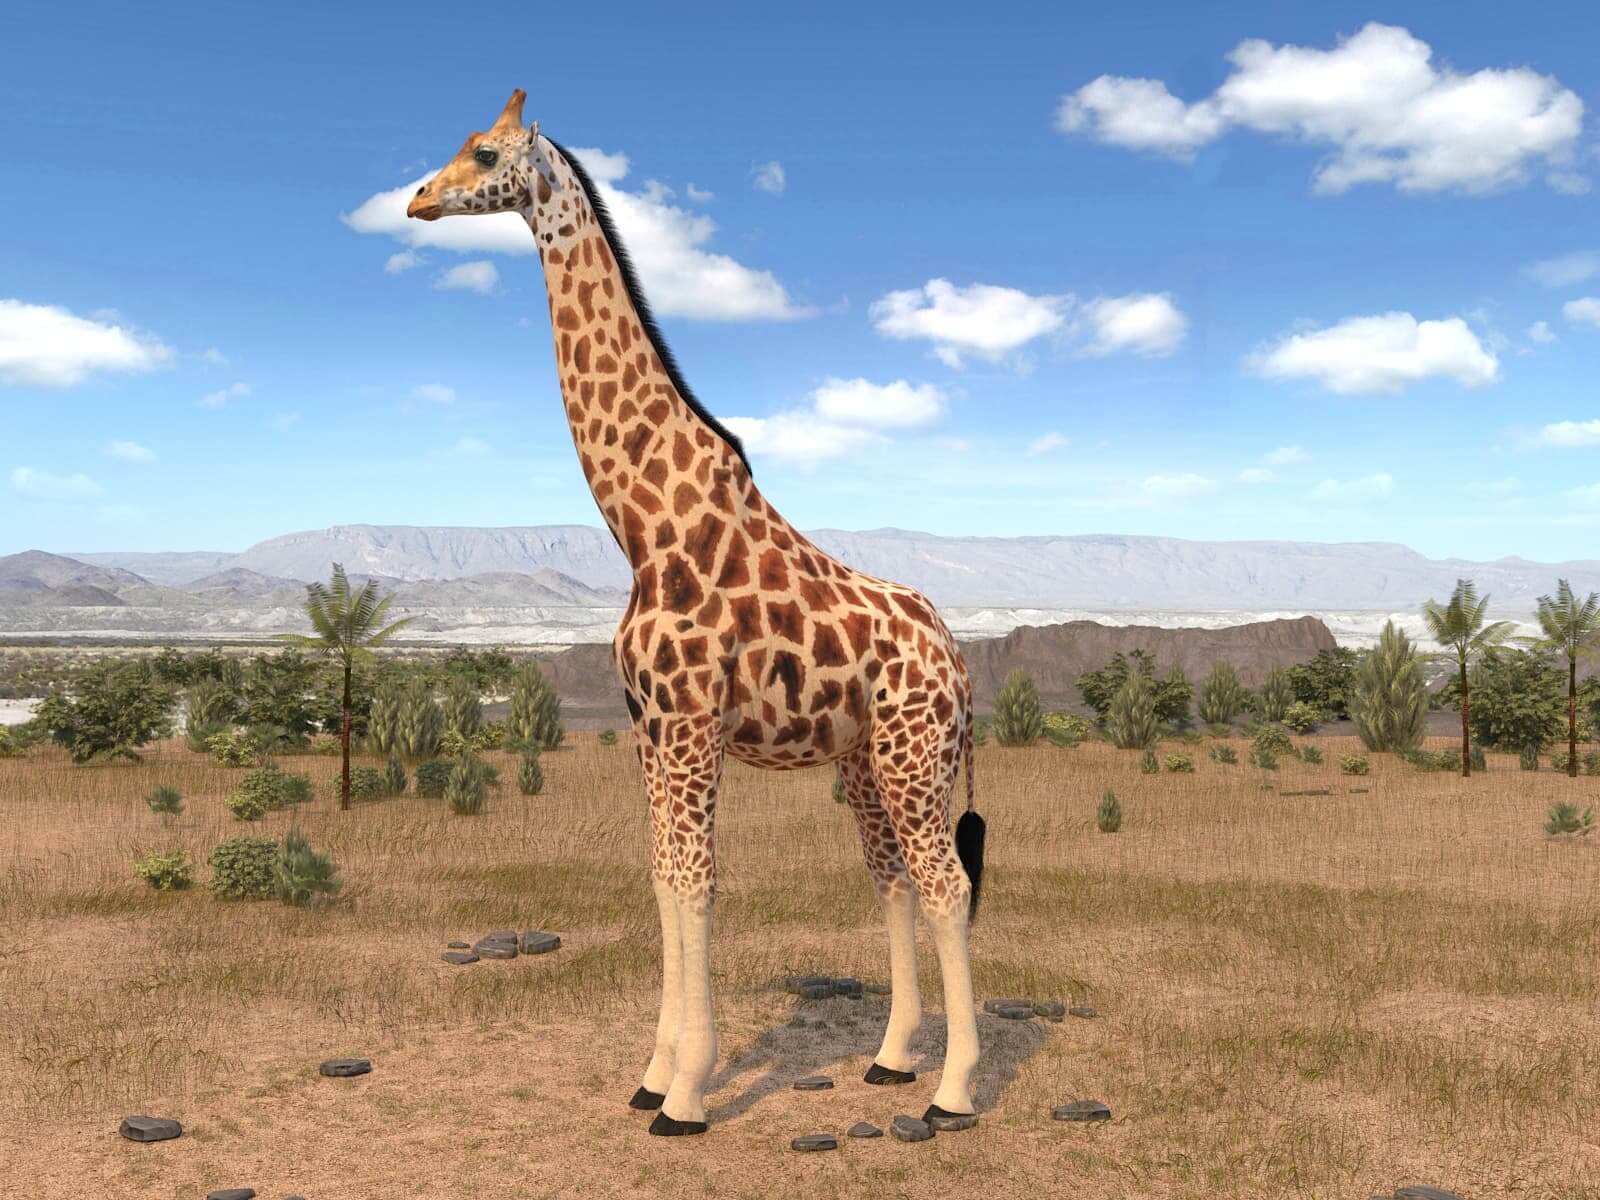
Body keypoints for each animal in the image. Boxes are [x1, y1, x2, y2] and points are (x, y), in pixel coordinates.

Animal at [407, 90, 988, 1136]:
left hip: (915, 753)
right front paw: (652, 1075)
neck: (644, 528)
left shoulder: (687, 723)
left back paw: (954, 1089)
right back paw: (891, 1059)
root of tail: (960, 659)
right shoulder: (647, 726)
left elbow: (697, 884)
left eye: (484, 154)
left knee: (945, 880)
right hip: (862, 758)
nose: (416, 198)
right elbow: (663, 883)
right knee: (891, 878)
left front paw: (685, 1095)